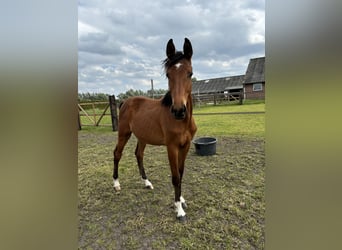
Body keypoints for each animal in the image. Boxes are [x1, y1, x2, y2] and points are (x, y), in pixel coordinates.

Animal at [113, 37, 196, 221]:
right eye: (168, 74)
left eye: (190, 73)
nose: (178, 110)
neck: (182, 122)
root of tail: (125, 101)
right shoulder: (171, 147)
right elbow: (175, 177)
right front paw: (179, 210)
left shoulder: (185, 146)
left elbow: (181, 173)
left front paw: (181, 199)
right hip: (124, 133)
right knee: (117, 153)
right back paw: (116, 184)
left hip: (142, 137)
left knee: (138, 154)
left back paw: (147, 183)